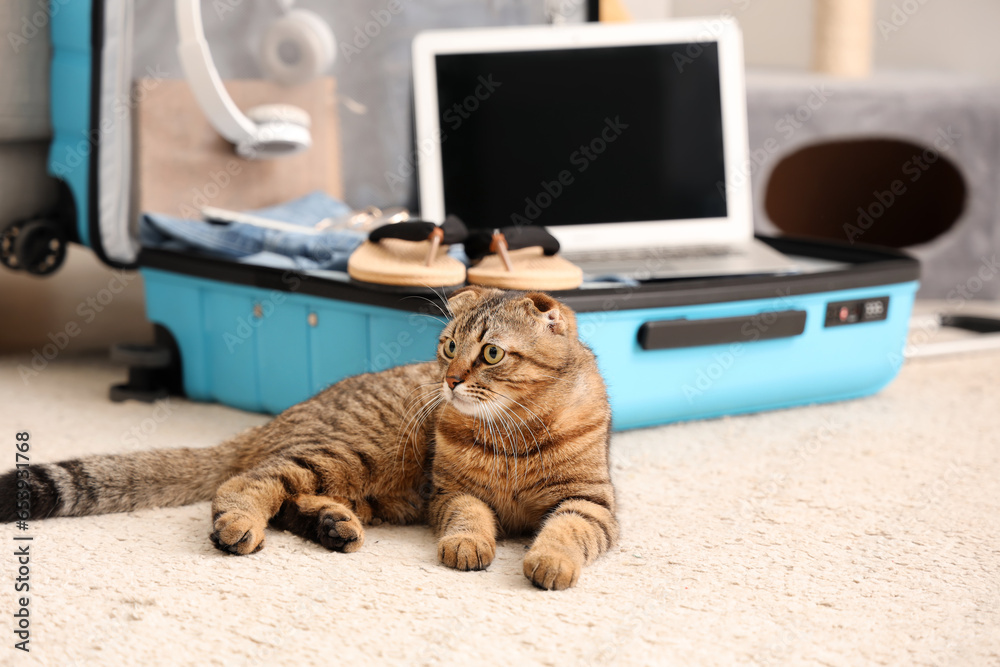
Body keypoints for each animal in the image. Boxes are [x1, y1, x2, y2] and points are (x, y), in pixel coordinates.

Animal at [0, 288, 616, 588]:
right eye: (447, 347)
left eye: (490, 353)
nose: (450, 380)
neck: (515, 429)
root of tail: (280, 417)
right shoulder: (453, 493)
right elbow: (470, 518)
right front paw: (469, 545)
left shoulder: (591, 503)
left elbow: (565, 530)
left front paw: (550, 561)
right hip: (346, 454)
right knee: (247, 484)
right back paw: (241, 526)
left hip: (362, 484)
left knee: (290, 501)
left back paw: (331, 526)